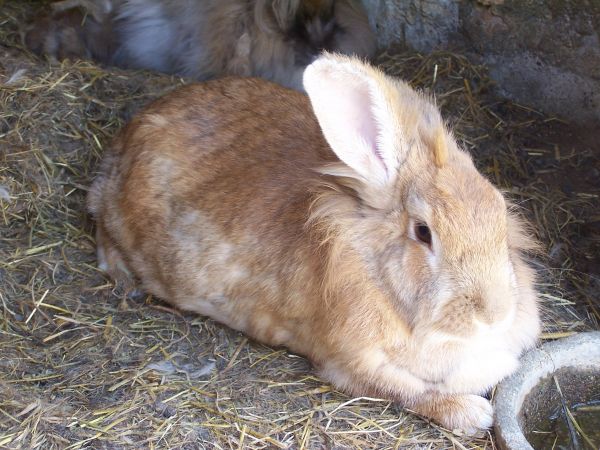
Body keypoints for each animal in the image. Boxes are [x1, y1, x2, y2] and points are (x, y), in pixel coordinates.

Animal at [89, 53, 544, 436]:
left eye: (498, 206)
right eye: (423, 232)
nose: (495, 314)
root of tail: (127, 136)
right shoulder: (352, 364)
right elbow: (412, 392)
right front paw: (473, 414)